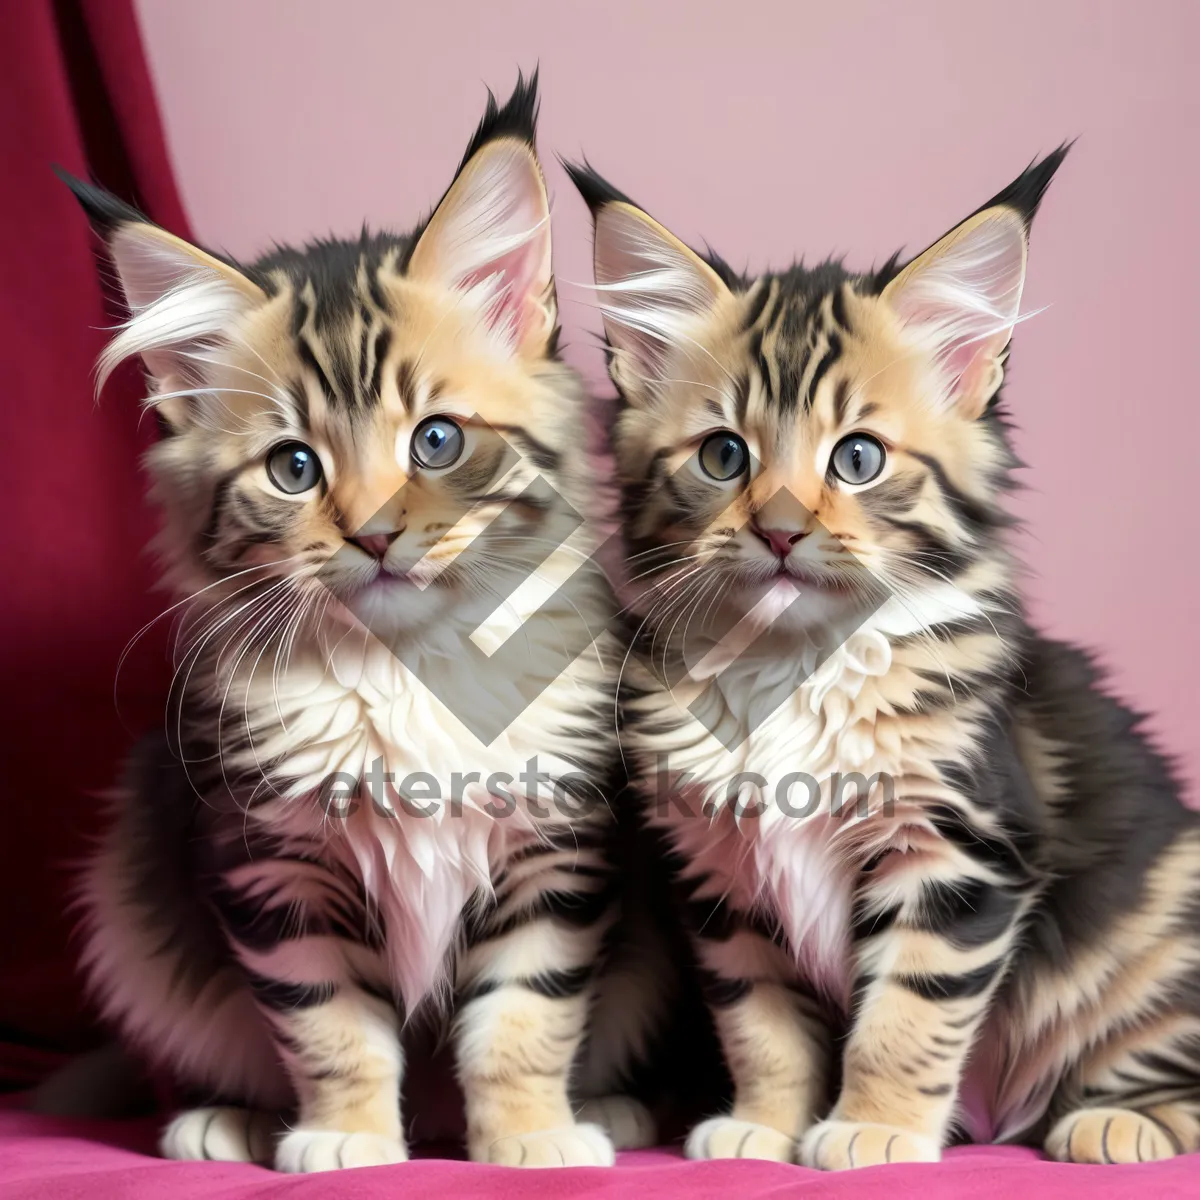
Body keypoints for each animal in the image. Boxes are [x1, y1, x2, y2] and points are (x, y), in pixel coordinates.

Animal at [65, 75, 648, 1171]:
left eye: (437, 441)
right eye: (295, 468)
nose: (376, 535)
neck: (405, 668)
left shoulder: (550, 853)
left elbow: (523, 1017)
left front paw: (531, 1137)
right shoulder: (273, 866)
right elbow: (330, 1028)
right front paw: (348, 1140)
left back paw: (610, 1110)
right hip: (136, 907)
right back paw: (232, 1122)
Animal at [566, 152, 1200, 1171]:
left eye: (857, 458)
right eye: (722, 456)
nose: (781, 532)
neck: (791, 668)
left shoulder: (960, 848)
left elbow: (907, 1013)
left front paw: (875, 1127)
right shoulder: (724, 878)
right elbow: (761, 1022)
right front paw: (765, 1126)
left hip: (1150, 929)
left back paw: (1117, 1122)